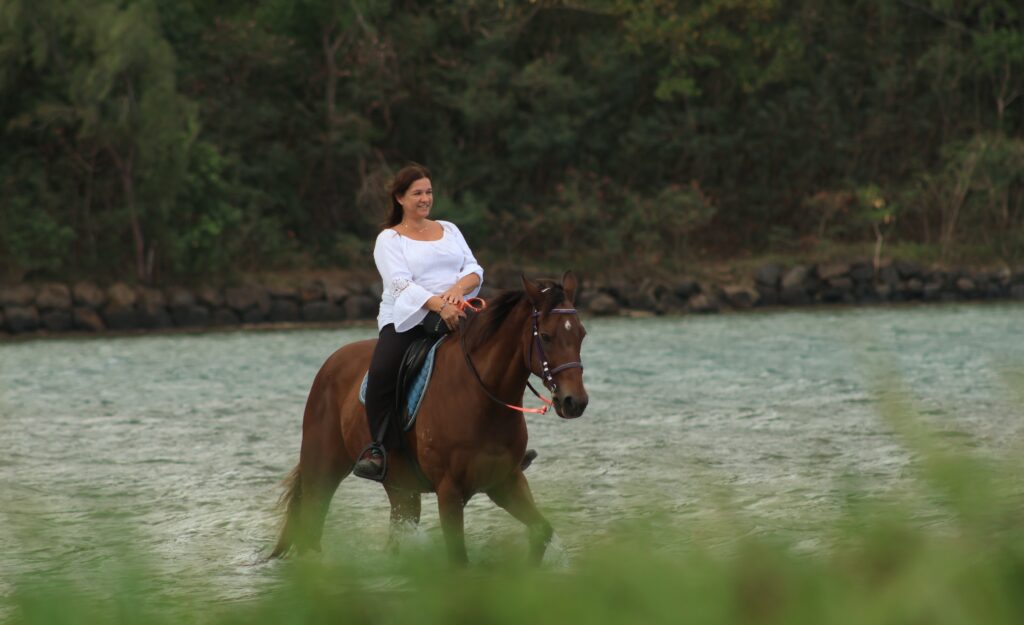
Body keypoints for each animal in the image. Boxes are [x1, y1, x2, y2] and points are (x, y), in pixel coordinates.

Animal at [272, 270, 589, 561]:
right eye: (546, 336)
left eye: (581, 334)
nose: (575, 402)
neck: (481, 399)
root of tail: (329, 364)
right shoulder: (449, 492)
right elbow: (458, 560)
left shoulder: (506, 482)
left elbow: (542, 530)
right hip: (322, 472)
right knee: (311, 529)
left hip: (401, 488)